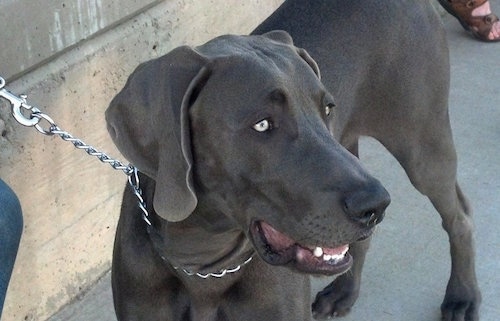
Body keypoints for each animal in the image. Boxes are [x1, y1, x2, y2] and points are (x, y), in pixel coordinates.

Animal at [105, 0, 480, 320]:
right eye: (262, 124)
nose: (376, 206)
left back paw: (462, 297)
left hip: (420, 141)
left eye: (326, 108)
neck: (203, 263)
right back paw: (345, 291)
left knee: (459, 216)